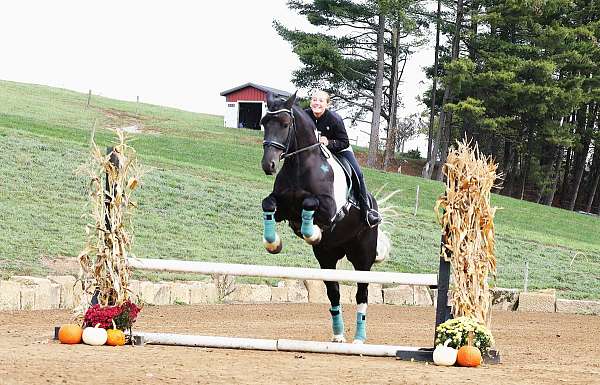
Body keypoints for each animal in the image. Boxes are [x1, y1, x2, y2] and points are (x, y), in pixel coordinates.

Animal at [258, 92, 390, 342]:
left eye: (285, 124)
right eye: (264, 123)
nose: (268, 165)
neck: (300, 165)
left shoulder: (330, 210)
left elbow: (310, 203)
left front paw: (312, 233)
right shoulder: (281, 208)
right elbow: (268, 205)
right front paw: (273, 243)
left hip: (363, 258)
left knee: (362, 294)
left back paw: (359, 338)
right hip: (326, 258)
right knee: (334, 293)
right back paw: (338, 335)